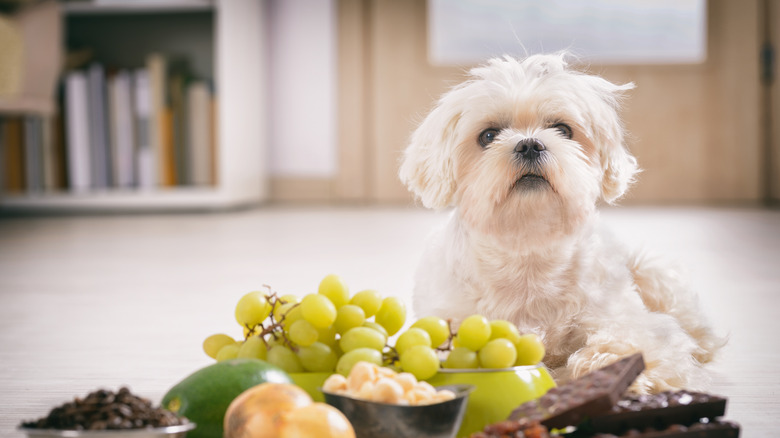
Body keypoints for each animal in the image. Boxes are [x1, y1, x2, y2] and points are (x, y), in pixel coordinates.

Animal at [402, 53, 724, 392]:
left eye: (562, 129)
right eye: (488, 135)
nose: (530, 144)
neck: (529, 247)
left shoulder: (633, 323)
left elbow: (632, 343)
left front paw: (608, 367)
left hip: (650, 272)